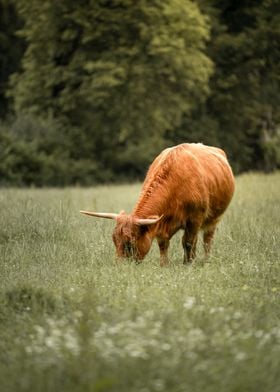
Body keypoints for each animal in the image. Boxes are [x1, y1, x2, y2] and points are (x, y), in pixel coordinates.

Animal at [80, 144, 234, 266]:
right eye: (114, 239)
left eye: (129, 243)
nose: (120, 266)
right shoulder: (162, 226)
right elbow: (163, 245)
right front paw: (164, 264)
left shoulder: (194, 219)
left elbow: (188, 242)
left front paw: (188, 264)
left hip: (213, 219)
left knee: (207, 240)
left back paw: (205, 260)